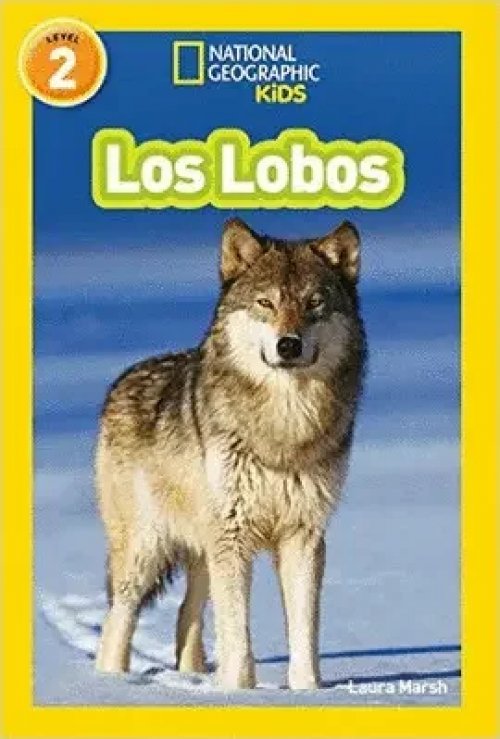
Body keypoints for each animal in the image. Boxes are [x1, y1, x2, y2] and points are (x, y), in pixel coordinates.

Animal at [95, 218, 366, 690]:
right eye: (265, 302)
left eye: (314, 303)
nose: (289, 345)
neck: (283, 425)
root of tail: (122, 379)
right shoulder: (234, 536)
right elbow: (237, 632)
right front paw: (239, 690)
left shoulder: (302, 535)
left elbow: (304, 631)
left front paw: (307, 690)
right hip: (146, 550)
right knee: (118, 618)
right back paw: (111, 683)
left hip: (203, 552)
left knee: (187, 615)